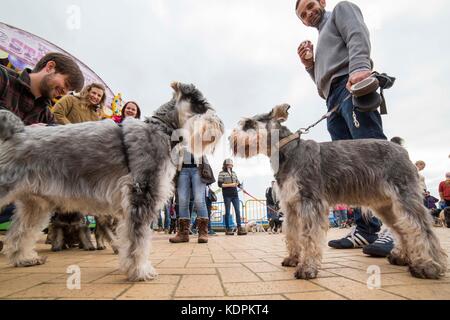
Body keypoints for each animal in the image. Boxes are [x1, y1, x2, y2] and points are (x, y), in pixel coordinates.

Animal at [0, 82, 224, 280]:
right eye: (200, 105)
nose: (219, 126)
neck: (162, 129)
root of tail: (17, 132)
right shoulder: (141, 194)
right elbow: (138, 241)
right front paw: (140, 271)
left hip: (36, 204)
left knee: (21, 231)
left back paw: (23, 258)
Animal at [230, 104, 448, 278]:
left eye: (249, 123)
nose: (231, 138)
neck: (287, 151)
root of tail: (399, 148)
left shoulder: (310, 203)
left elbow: (309, 237)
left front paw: (307, 267)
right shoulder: (291, 206)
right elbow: (292, 234)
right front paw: (292, 258)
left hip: (405, 198)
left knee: (421, 228)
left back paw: (429, 266)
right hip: (386, 206)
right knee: (403, 229)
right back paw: (402, 256)